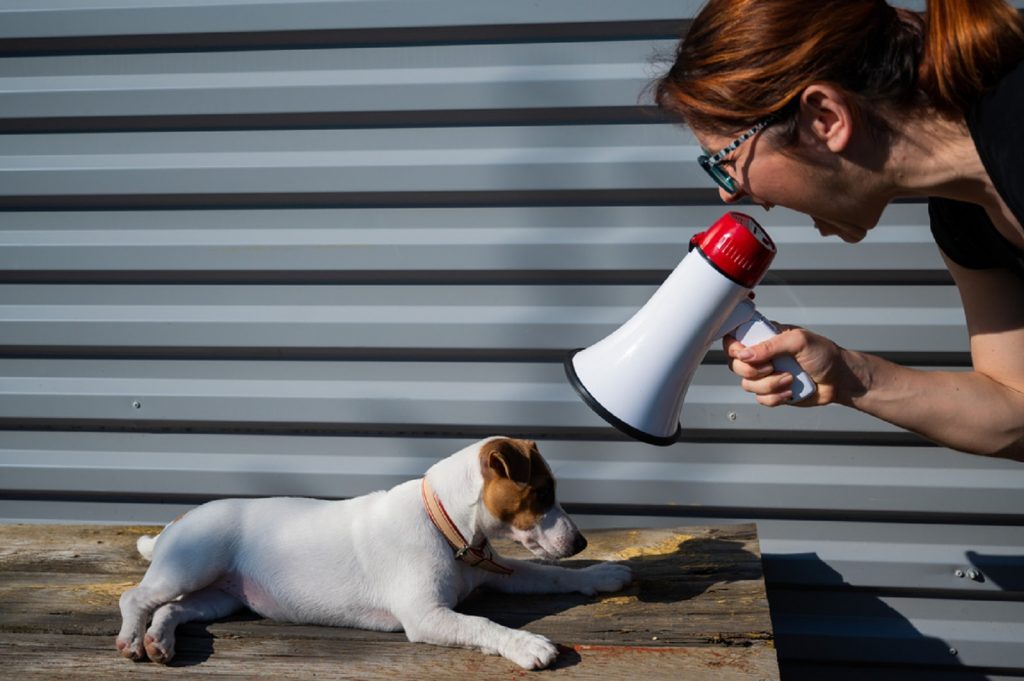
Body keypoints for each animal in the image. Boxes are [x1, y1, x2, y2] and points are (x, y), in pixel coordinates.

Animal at [117, 438, 630, 667]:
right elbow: (483, 624)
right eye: (542, 494)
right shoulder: (426, 616)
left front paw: (601, 575)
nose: (581, 542)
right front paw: (528, 645)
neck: (445, 523)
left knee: (174, 609)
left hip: (220, 596)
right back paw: (132, 638)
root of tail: (178, 521)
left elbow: (552, 575)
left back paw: (160, 640)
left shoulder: (495, 570)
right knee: (136, 597)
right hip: (193, 564)